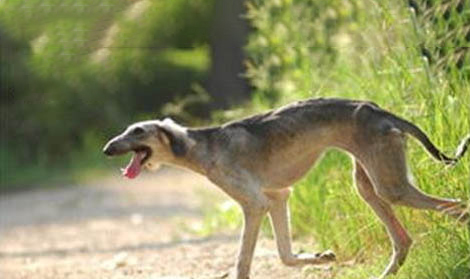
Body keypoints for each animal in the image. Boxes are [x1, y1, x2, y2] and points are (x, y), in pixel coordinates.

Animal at [103, 97, 470, 278]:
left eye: (138, 131)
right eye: (127, 130)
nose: (107, 148)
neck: (202, 146)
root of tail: (379, 110)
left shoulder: (254, 205)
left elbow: (243, 263)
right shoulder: (278, 197)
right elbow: (284, 255)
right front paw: (319, 257)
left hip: (390, 185)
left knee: (458, 207)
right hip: (369, 184)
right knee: (403, 240)